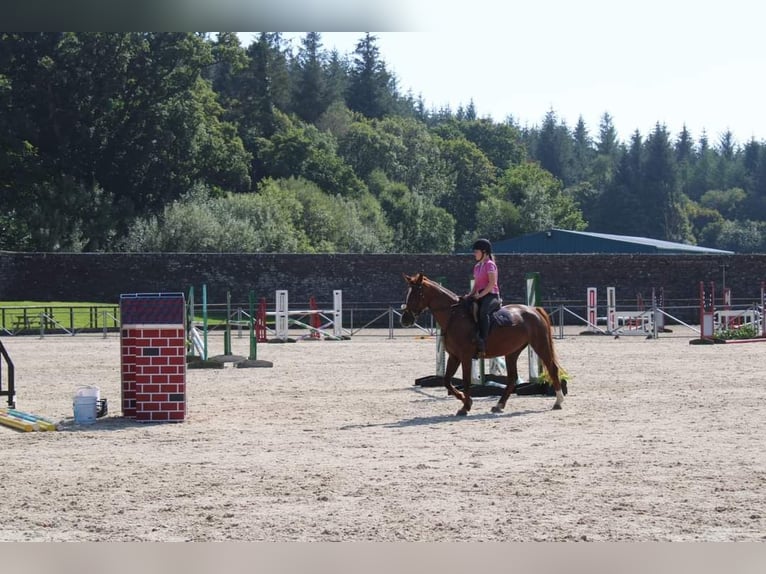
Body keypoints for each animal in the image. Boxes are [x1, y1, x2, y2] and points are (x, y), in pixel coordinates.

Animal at [400, 272, 568, 416]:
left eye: (415, 294)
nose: (405, 319)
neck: (454, 316)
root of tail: (534, 310)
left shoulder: (465, 356)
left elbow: (466, 380)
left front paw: (465, 406)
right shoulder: (454, 356)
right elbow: (447, 381)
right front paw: (465, 400)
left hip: (540, 345)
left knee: (552, 369)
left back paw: (558, 401)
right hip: (512, 352)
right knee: (512, 378)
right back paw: (499, 405)